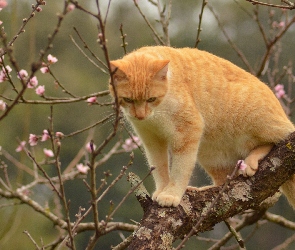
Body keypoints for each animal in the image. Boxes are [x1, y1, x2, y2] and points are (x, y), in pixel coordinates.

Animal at [109, 46, 295, 208]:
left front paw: (171, 194)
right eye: (128, 100)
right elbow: (159, 167)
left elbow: (180, 169)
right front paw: (163, 189)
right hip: (209, 153)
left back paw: (252, 159)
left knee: (277, 138)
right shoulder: (151, 139)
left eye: (151, 99)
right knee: (223, 181)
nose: (140, 115)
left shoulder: (188, 130)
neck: (157, 114)